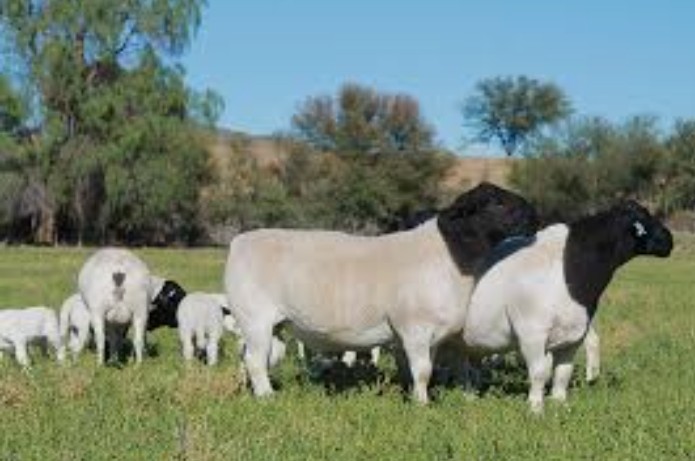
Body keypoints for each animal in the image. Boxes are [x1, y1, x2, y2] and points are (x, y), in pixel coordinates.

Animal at [224, 183, 539, 402]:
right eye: (495, 202)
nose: (535, 214)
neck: (450, 257)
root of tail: (239, 242)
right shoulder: (414, 327)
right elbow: (422, 370)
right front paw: (422, 405)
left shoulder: (431, 335)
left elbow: (423, 370)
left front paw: (417, 395)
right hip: (254, 317)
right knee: (255, 361)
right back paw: (267, 398)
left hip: (272, 325)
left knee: (256, 359)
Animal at [462, 200, 672, 412]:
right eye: (644, 218)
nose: (669, 240)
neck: (569, 273)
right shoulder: (531, 333)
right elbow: (539, 371)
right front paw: (536, 408)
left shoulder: (574, 336)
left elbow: (563, 372)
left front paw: (560, 403)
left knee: (472, 363)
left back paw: (472, 393)